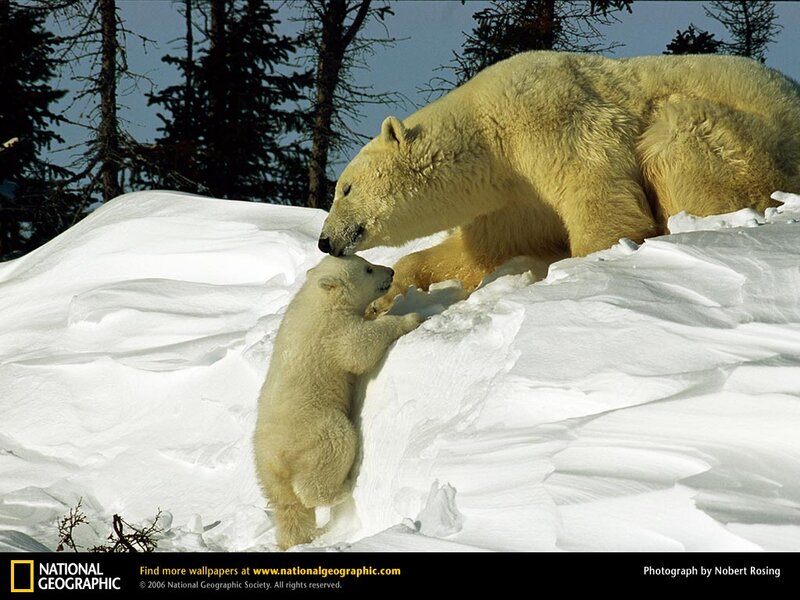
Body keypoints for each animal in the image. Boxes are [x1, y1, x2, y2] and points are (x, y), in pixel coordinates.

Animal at [253, 255, 422, 549]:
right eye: (368, 268)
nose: (390, 271)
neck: (319, 298)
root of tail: (274, 457)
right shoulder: (333, 332)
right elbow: (359, 347)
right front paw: (410, 317)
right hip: (316, 429)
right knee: (331, 452)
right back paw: (343, 488)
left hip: (265, 471)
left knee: (288, 506)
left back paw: (294, 539)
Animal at [317, 52, 800, 311]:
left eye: (345, 188)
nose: (325, 241)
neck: (490, 132)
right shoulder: (513, 199)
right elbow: (484, 250)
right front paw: (387, 296)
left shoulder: (551, 122)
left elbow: (601, 196)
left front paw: (584, 267)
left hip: (747, 145)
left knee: (676, 134)